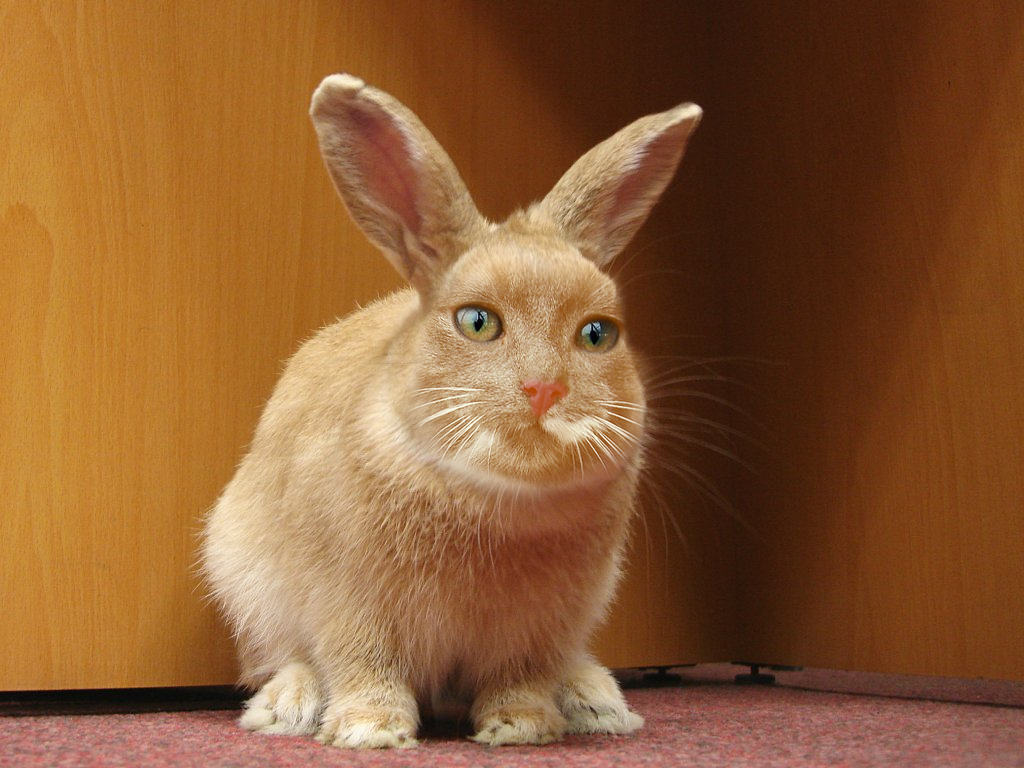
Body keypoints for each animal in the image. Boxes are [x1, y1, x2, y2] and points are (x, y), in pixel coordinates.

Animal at [201, 73, 701, 749]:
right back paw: (287, 707)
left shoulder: (535, 630)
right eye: (477, 322)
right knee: (282, 658)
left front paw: (520, 728)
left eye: (599, 334)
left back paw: (596, 702)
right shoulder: (352, 606)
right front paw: (371, 732)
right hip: (243, 579)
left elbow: (520, 678)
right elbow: (364, 664)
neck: (498, 499)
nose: (545, 388)